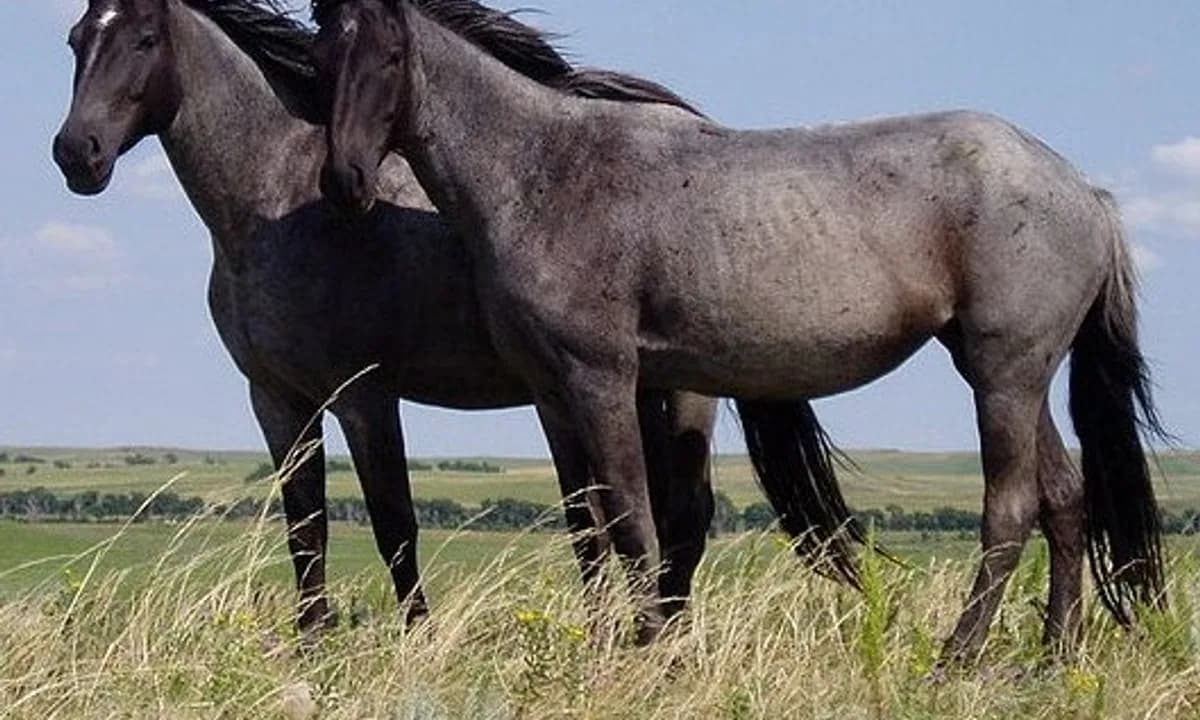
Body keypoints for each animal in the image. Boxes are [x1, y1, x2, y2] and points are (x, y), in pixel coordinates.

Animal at [50, 0, 729, 631]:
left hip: (682, 392)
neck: (277, 203)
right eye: (77, 39)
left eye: (144, 39)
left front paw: (416, 639)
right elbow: (306, 529)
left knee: (682, 521)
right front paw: (312, 644)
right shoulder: (277, 400)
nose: (76, 153)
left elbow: (394, 523)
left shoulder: (364, 396)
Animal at [313, 0, 1168, 660]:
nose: (343, 180)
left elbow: (633, 518)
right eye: (325, 47)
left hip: (1003, 374)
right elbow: (588, 527)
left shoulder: (604, 380)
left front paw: (649, 651)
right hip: (1011, 373)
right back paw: (1054, 655)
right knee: (1065, 499)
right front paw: (604, 647)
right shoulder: (552, 394)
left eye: (392, 53)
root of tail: (1084, 191)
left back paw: (957, 657)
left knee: (1010, 508)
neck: (545, 173)